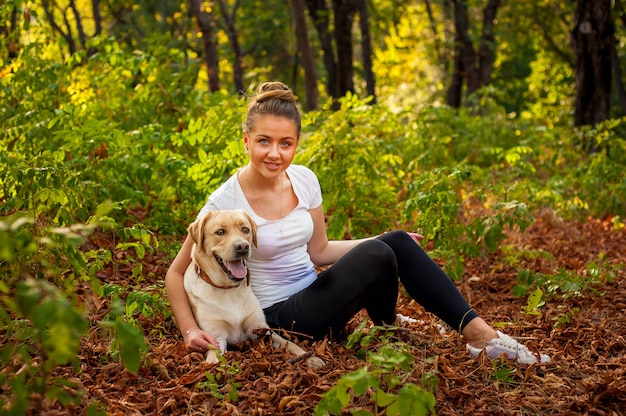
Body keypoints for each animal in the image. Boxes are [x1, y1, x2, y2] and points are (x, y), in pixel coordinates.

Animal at [183, 210, 324, 368]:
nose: (243, 247)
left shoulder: (260, 328)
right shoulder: (216, 336)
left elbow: (289, 343)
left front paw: (310, 357)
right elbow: (215, 358)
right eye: (220, 232)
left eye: (245, 230)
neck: (229, 289)